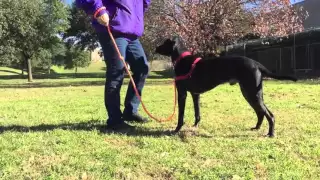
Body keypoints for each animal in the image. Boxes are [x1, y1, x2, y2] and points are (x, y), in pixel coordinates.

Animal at [155, 35, 298, 137]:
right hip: (249, 93)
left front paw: (176, 130)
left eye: (165, 42)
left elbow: (181, 115)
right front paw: (195, 126)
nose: (155, 48)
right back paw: (256, 128)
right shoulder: (196, 94)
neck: (183, 59)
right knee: (260, 112)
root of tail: (256, 64)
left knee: (269, 115)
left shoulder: (182, 93)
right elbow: (197, 113)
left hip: (252, 93)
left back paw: (271, 134)